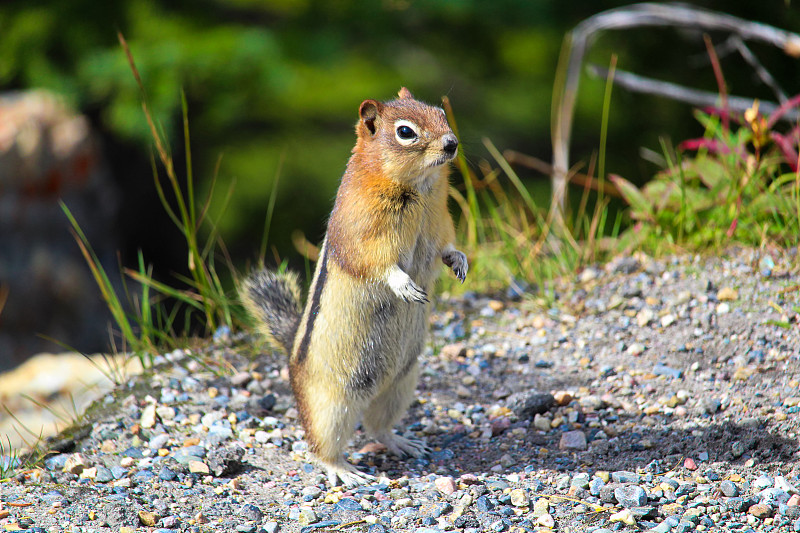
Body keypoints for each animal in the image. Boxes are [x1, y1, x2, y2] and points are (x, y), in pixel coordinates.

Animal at [241, 87, 466, 486]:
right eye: (405, 132)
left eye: (440, 113)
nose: (451, 143)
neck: (420, 188)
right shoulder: (361, 230)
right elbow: (376, 264)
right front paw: (404, 286)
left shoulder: (440, 224)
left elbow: (445, 249)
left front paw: (460, 261)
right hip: (330, 406)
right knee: (321, 445)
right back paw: (343, 470)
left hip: (401, 385)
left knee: (377, 427)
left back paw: (401, 442)